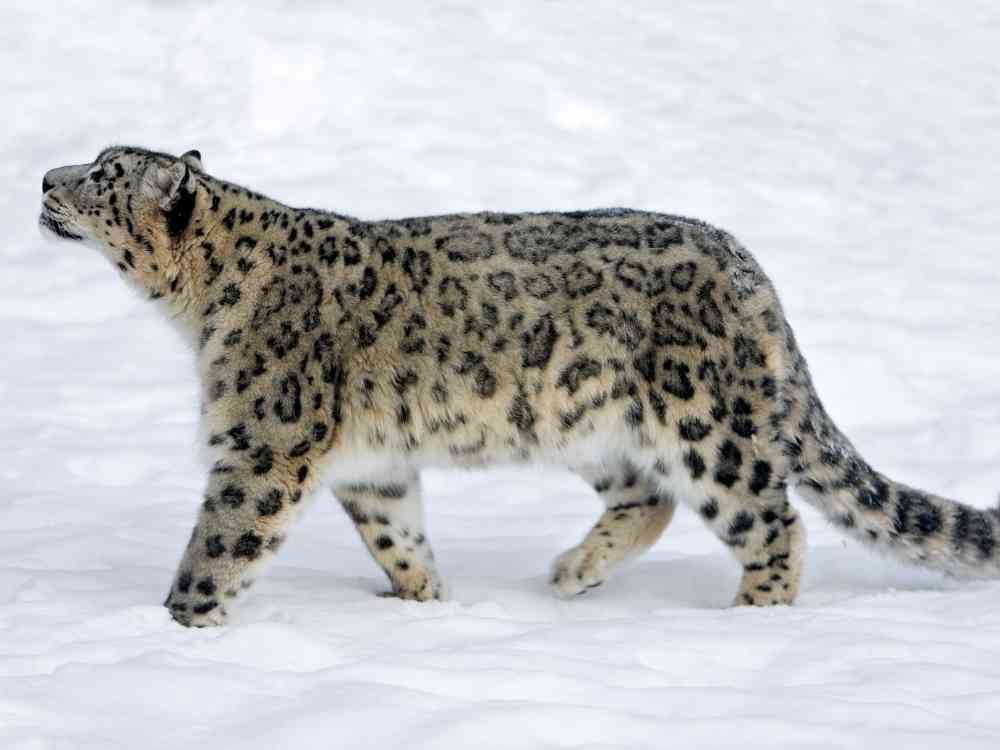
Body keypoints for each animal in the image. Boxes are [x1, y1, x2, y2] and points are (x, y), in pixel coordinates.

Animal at [39, 145, 1000, 627]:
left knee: (772, 520)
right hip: (591, 422)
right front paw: (426, 607)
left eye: (102, 175)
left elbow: (219, 546)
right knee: (648, 497)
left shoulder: (264, 446)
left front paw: (177, 629)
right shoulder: (372, 466)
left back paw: (750, 619)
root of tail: (747, 265)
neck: (197, 310)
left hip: (706, 424)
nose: (46, 178)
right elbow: (397, 536)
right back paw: (573, 574)